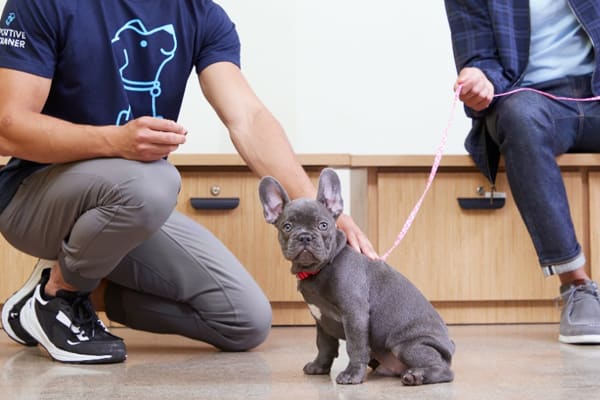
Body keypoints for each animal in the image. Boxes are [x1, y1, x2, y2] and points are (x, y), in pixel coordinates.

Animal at [258, 168, 454, 384]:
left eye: (323, 225)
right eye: (287, 227)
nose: (305, 237)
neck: (320, 268)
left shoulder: (354, 314)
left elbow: (355, 346)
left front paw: (352, 374)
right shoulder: (322, 321)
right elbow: (324, 345)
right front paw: (319, 367)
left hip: (407, 345)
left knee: (443, 370)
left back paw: (417, 376)